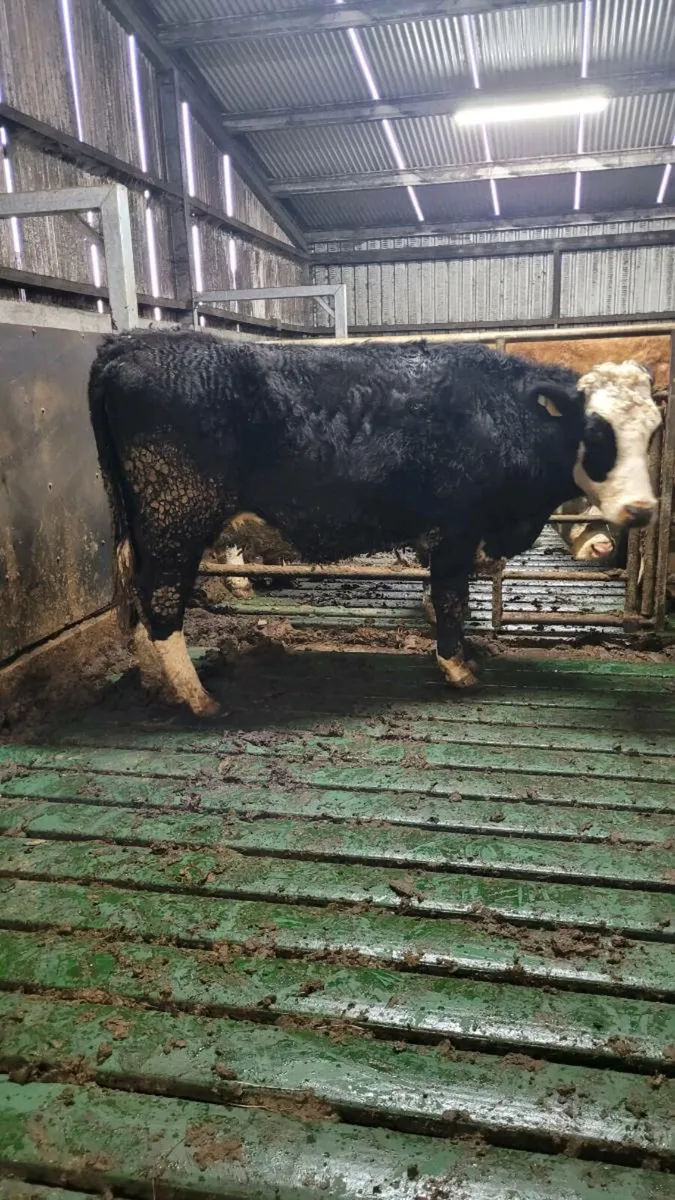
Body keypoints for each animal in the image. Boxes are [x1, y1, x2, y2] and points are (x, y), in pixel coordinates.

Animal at [88, 333, 661, 716]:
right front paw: (456, 667)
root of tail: (129, 343)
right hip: (176, 517)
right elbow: (450, 597)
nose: (642, 509)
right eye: (596, 431)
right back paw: (196, 696)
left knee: (140, 598)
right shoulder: (456, 528)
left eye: (654, 430)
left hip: (146, 527)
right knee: (162, 598)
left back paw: (156, 682)